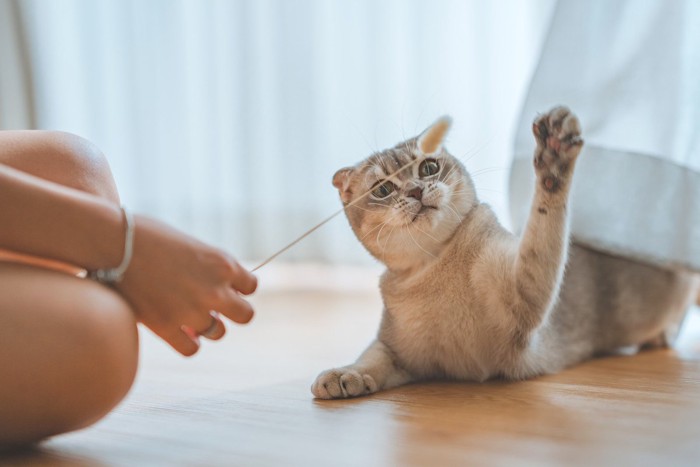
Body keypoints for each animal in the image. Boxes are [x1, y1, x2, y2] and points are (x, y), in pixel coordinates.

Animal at [312, 108, 700, 400]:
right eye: (383, 189)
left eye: (428, 167)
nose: (416, 191)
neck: (435, 266)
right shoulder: (397, 352)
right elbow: (370, 358)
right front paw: (344, 375)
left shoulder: (523, 297)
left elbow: (542, 228)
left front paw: (553, 156)